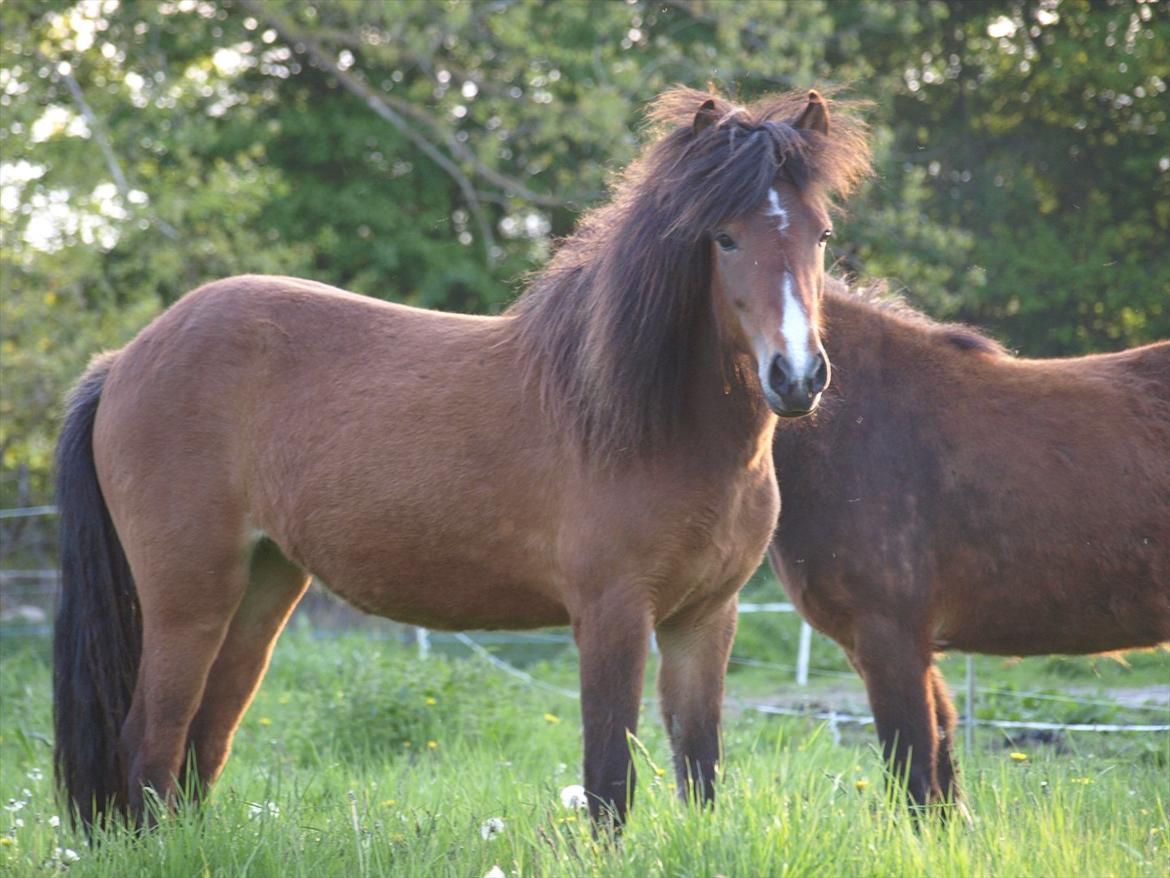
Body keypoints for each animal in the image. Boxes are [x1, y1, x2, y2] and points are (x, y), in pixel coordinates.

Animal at [54, 89, 875, 833]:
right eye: (724, 238)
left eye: (821, 234)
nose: (797, 377)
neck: (646, 421)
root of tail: (123, 361)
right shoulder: (612, 615)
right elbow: (610, 784)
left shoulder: (705, 620)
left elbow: (699, 774)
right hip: (187, 598)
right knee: (151, 743)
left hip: (262, 588)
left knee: (203, 742)